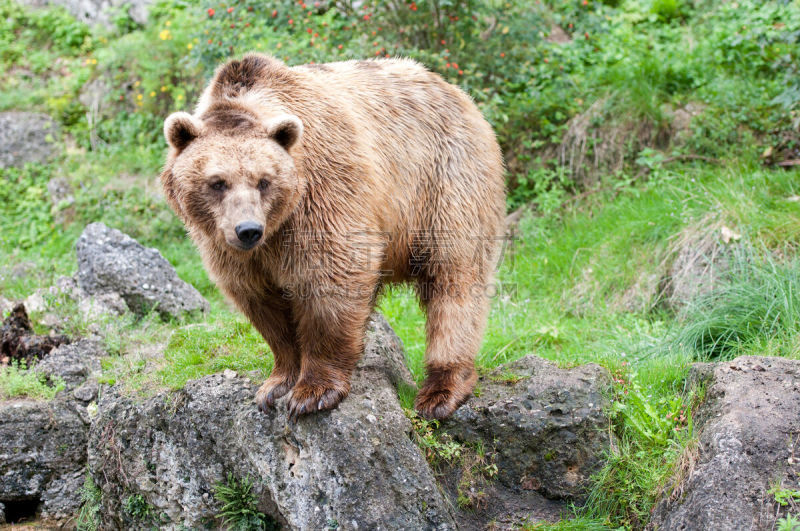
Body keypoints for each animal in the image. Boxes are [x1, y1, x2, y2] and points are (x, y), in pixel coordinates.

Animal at [159, 53, 504, 420]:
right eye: (217, 182)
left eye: (264, 180)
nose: (248, 229)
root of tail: (456, 92)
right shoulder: (228, 248)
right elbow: (263, 302)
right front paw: (276, 383)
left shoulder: (323, 192)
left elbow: (330, 279)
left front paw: (312, 393)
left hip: (444, 178)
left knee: (453, 278)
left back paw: (441, 389)